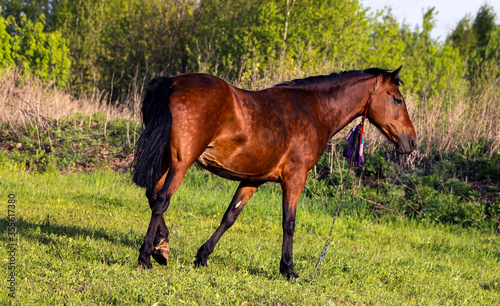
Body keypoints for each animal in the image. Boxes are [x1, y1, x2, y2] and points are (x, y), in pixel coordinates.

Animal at [131, 66, 416, 280]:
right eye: (397, 99)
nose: (411, 141)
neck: (315, 110)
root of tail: (171, 82)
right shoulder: (294, 178)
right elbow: (288, 223)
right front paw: (288, 269)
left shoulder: (252, 180)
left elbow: (230, 216)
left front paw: (202, 256)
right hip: (181, 161)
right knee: (162, 199)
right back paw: (146, 256)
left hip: (165, 159)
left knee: (152, 194)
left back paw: (161, 247)